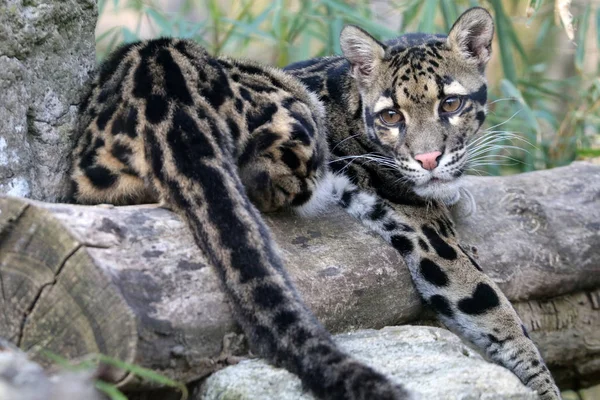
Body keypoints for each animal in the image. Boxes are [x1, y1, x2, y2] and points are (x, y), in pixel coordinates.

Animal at [72, 6, 560, 400]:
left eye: (451, 103)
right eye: (391, 115)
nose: (427, 159)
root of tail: (161, 86)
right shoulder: (432, 236)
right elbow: (491, 305)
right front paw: (542, 385)